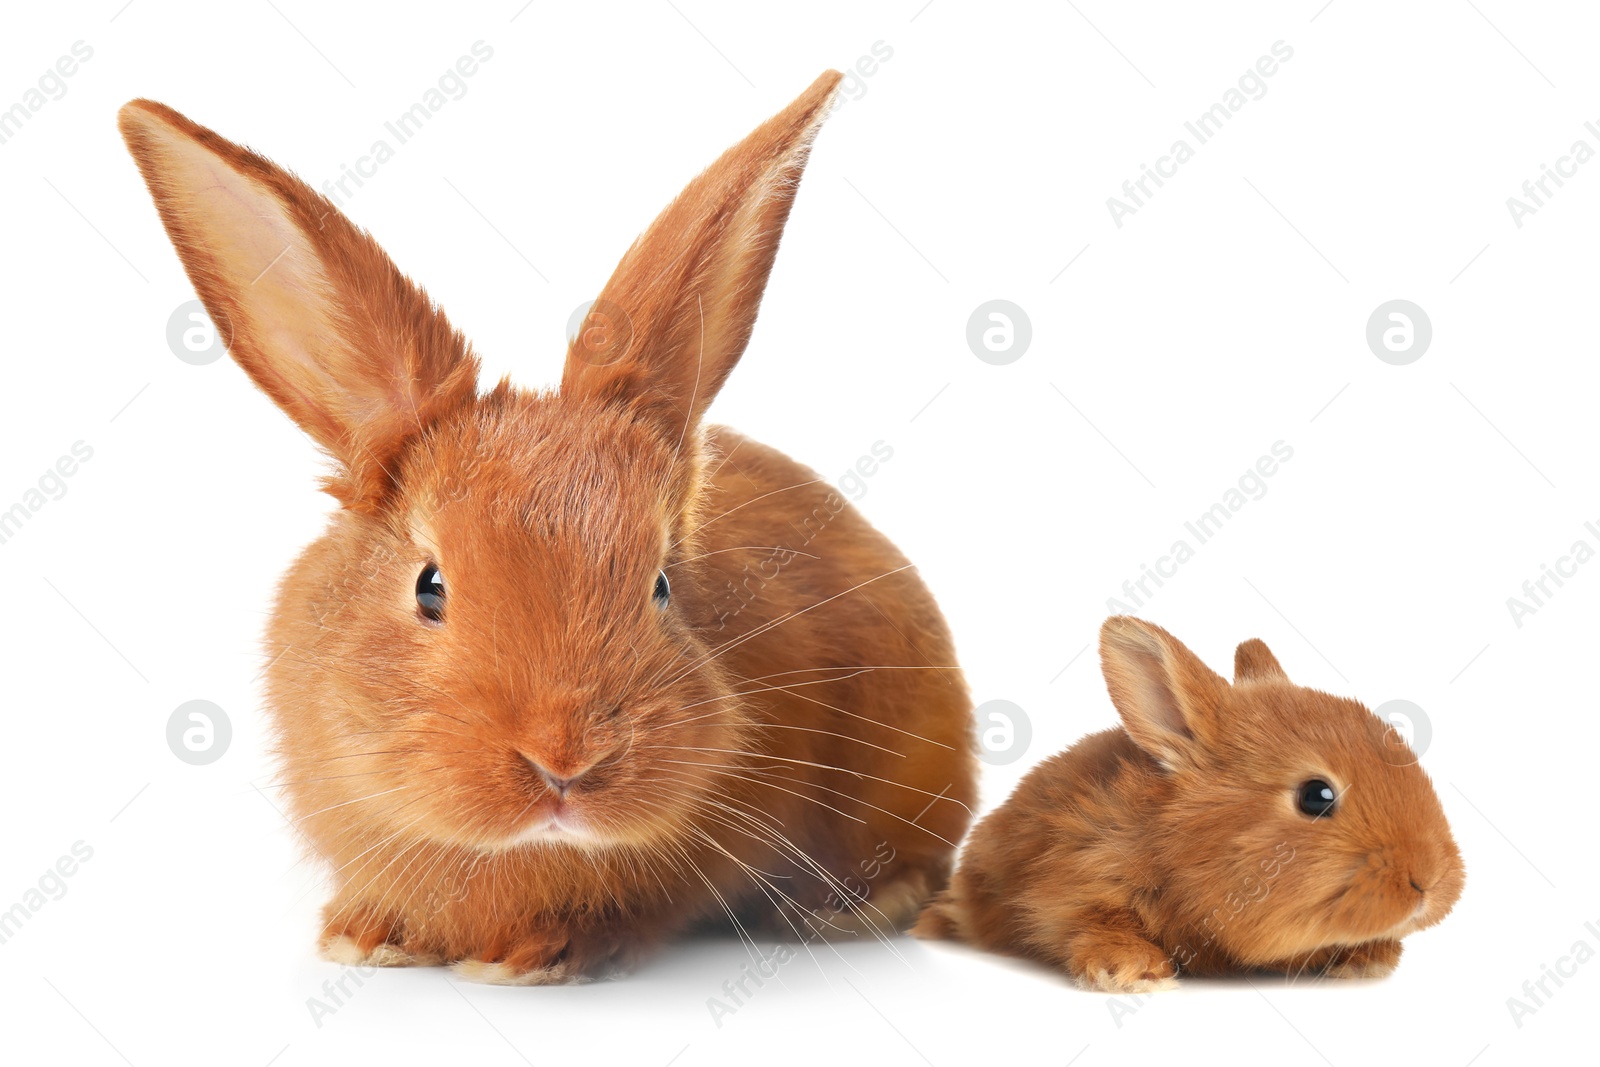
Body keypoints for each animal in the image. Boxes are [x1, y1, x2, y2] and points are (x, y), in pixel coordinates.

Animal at [915, 614, 1465, 998]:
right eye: (1316, 795)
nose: (1429, 881)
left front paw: (1366, 958)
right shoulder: (1074, 883)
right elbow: (1088, 923)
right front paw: (1131, 972)